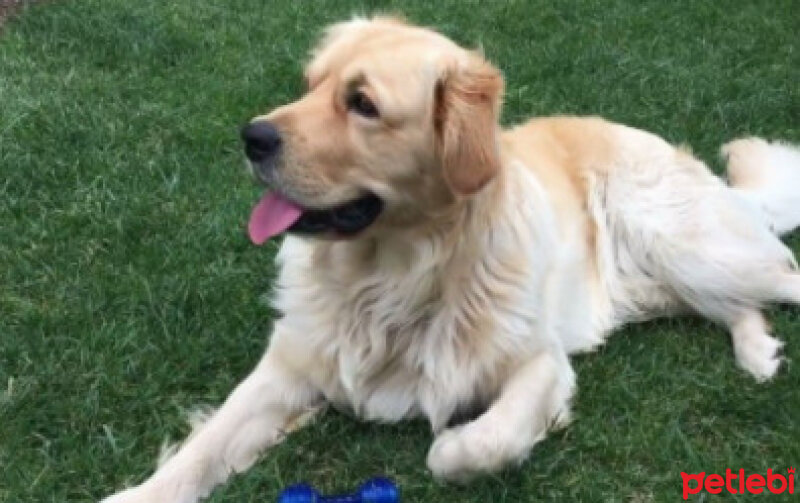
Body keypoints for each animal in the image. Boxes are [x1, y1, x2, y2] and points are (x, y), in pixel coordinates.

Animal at [101, 16, 800, 503]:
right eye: (309, 87)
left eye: (362, 104)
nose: (252, 137)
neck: (389, 279)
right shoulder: (286, 369)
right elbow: (204, 445)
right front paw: (137, 493)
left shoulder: (539, 362)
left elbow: (475, 445)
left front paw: (454, 444)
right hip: (664, 282)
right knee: (731, 302)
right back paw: (757, 351)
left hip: (684, 244)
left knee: (781, 272)